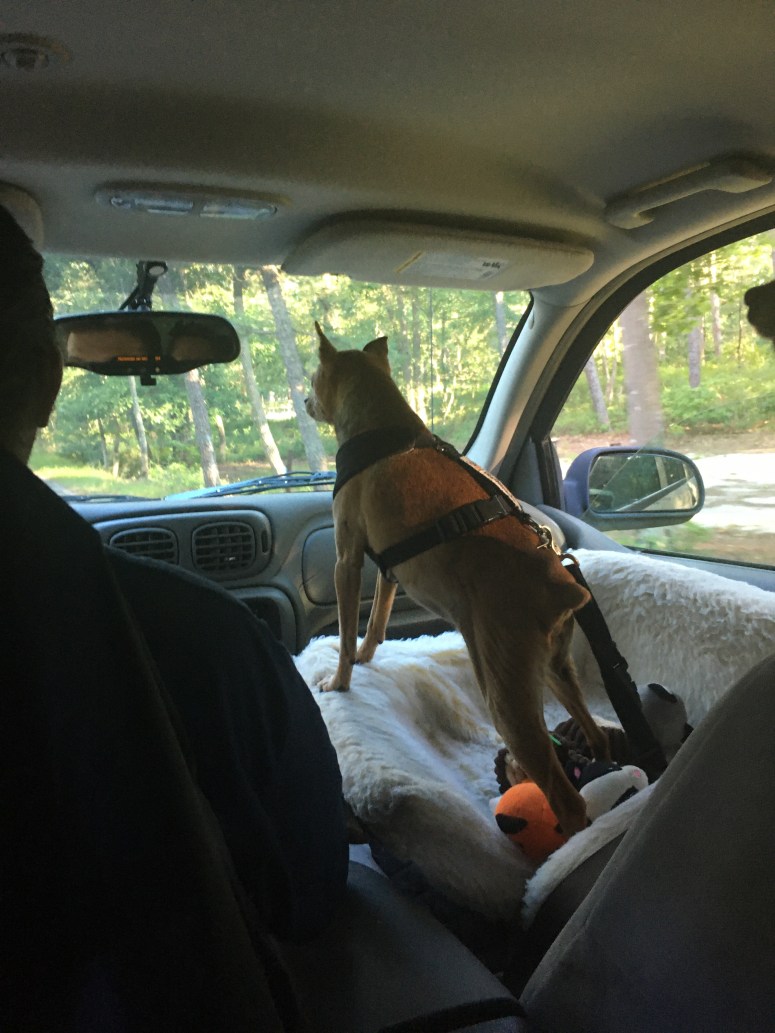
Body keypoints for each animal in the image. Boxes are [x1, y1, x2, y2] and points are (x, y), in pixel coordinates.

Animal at [305, 323, 609, 836]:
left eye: (311, 380)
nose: (305, 403)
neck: (384, 427)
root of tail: (561, 586)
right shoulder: (388, 568)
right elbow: (376, 622)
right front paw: (368, 656)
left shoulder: (346, 560)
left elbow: (345, 634)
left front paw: (340, 681)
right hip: (556, 671)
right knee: (596, 737)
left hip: (505, 695)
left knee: (566, 801)